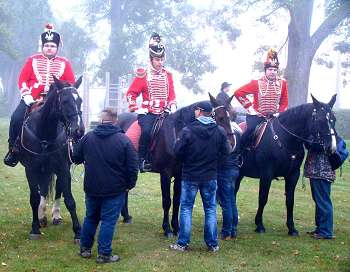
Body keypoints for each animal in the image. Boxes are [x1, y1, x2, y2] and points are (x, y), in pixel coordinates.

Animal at [18, 75, 85, 241]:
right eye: (65, 101)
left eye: (80, 100)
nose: (79, 131)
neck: (45, 133)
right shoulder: (31, 169)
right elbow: (34, 198)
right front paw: (35, 229)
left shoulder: (63, 168)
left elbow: (69, 200)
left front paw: (78, 231)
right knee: (41, 191)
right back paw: (41, 216)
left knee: (56, 189)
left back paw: (55, 216)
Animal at [117, 94, 235, 238]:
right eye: (220, 117)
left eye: (233, 116)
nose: (231, 144)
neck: (176, 133)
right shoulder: (165, 174)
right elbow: (167, 201)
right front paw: (167, 229)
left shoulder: (179, 175)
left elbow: (177, 200)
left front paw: (176, 228)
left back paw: (126, 216)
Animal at [235, 94, 336, 235]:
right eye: (321, 120)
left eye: (334, 120)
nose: (331, 147)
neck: (285, 139)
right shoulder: (266, 174)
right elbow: (263, 197)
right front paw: (259, 225)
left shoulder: (293, 175)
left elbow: (290, 200)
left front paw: (291, 228)